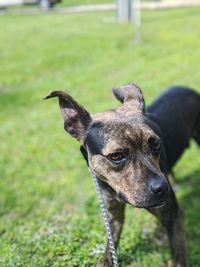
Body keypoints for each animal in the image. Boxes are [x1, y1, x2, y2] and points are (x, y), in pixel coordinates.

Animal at [45, 84, 200, 267]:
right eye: (116, 156)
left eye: (156, 144)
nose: (163, 188)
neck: (114, 190)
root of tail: (185, 87)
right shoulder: (113, 215)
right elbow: (109, 250)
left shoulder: (173, 217)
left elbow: (179, 257)